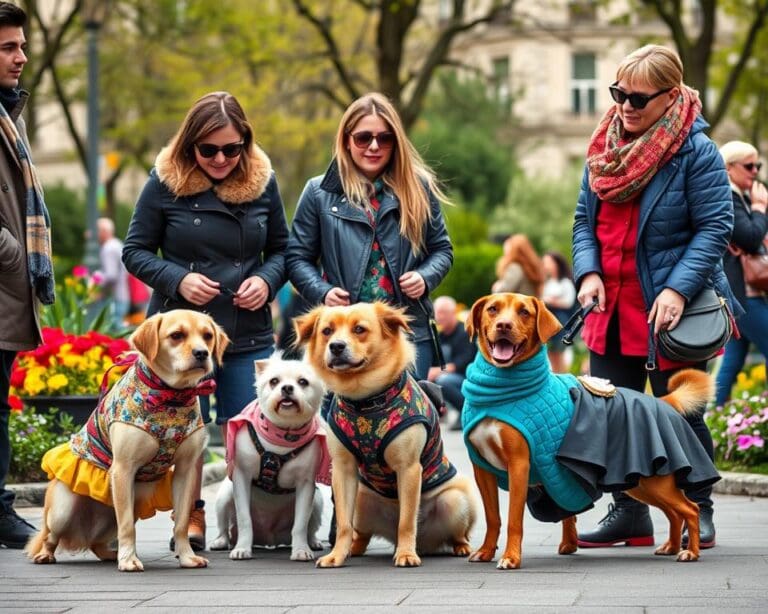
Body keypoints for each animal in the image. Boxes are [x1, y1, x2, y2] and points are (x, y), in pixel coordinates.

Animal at [27, 312, 231, 572]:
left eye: (207, 336)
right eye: (177, 335)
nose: (202, 353)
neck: (171, 396)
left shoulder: (186, 471)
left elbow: (182, 522)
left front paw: (186, 556)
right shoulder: (123, 469)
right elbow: (126, 528)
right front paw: (128, 560)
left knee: (96, 543)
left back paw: (109, 553)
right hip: (62, 511)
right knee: (50, 535)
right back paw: (46, 554)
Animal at [210, 356, 328, 564]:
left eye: (303, 382)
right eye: (274, 381)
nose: (287, 388)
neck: (282, 433)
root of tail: (269, 538)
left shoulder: (306, 484)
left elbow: (301, 523)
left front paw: (300, 550)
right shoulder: (241, 477)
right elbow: (244, 518)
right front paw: (242, 549)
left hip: (318, 500)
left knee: (311, 528)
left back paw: (312, 542)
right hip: (224, 497)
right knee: (225, 527)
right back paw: (222, 541)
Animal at [296, 300, 480, 572]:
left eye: (359, 329)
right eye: (327, 331)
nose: (336, 346)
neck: (365, 400)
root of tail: (426, 542)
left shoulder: (409, 468)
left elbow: (407, 521)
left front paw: (406, 555)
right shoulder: (342, 469)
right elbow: (343, 524)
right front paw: (337, 555)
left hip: (456, 499)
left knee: (453, 532)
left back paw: (459, 548)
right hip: (362, 500)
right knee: (360, 533)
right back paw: (354, 549)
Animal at [462, 296, 720, 572]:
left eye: (524, 312)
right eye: (492, 309)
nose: (504, 325)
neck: (502, 392)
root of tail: (661, 401)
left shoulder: (518, 466)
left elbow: (513, 519)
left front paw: (511, 557)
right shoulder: (482, 470)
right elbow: (493, 517)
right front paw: (486, 551)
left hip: (655, 482)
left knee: (690, 509)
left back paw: (690, 551)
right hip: (642, 484)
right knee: (674, 512)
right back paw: (670, 546)